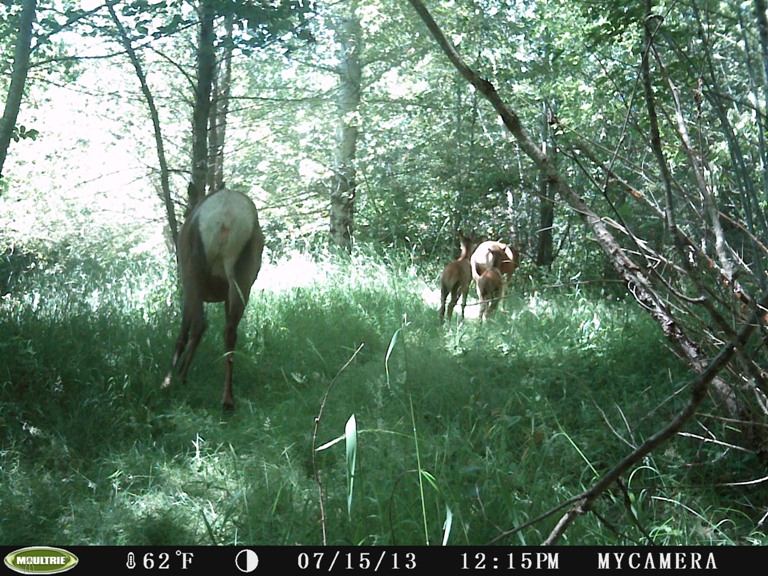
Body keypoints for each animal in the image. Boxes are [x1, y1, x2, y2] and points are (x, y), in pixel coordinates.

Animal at [162, 185, 265, 411]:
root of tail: (227, 217)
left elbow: (187, 329)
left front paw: (175, 375)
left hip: (193, 269)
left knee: (197, 325)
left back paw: (172, 379)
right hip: (242, 274)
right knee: (230, 331)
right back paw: (227, 398)